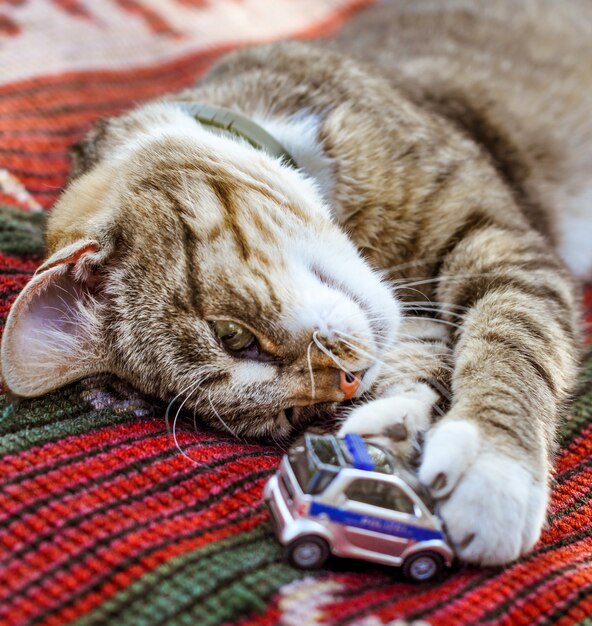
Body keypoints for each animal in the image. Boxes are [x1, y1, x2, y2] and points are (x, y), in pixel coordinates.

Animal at [1, 1, 592, 564]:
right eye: (290, 415)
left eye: (232, 336)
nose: (349, 381)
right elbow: (424, 348)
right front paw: (386, 431)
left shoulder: (499, 238)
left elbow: (517, 330)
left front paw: (493, 463)